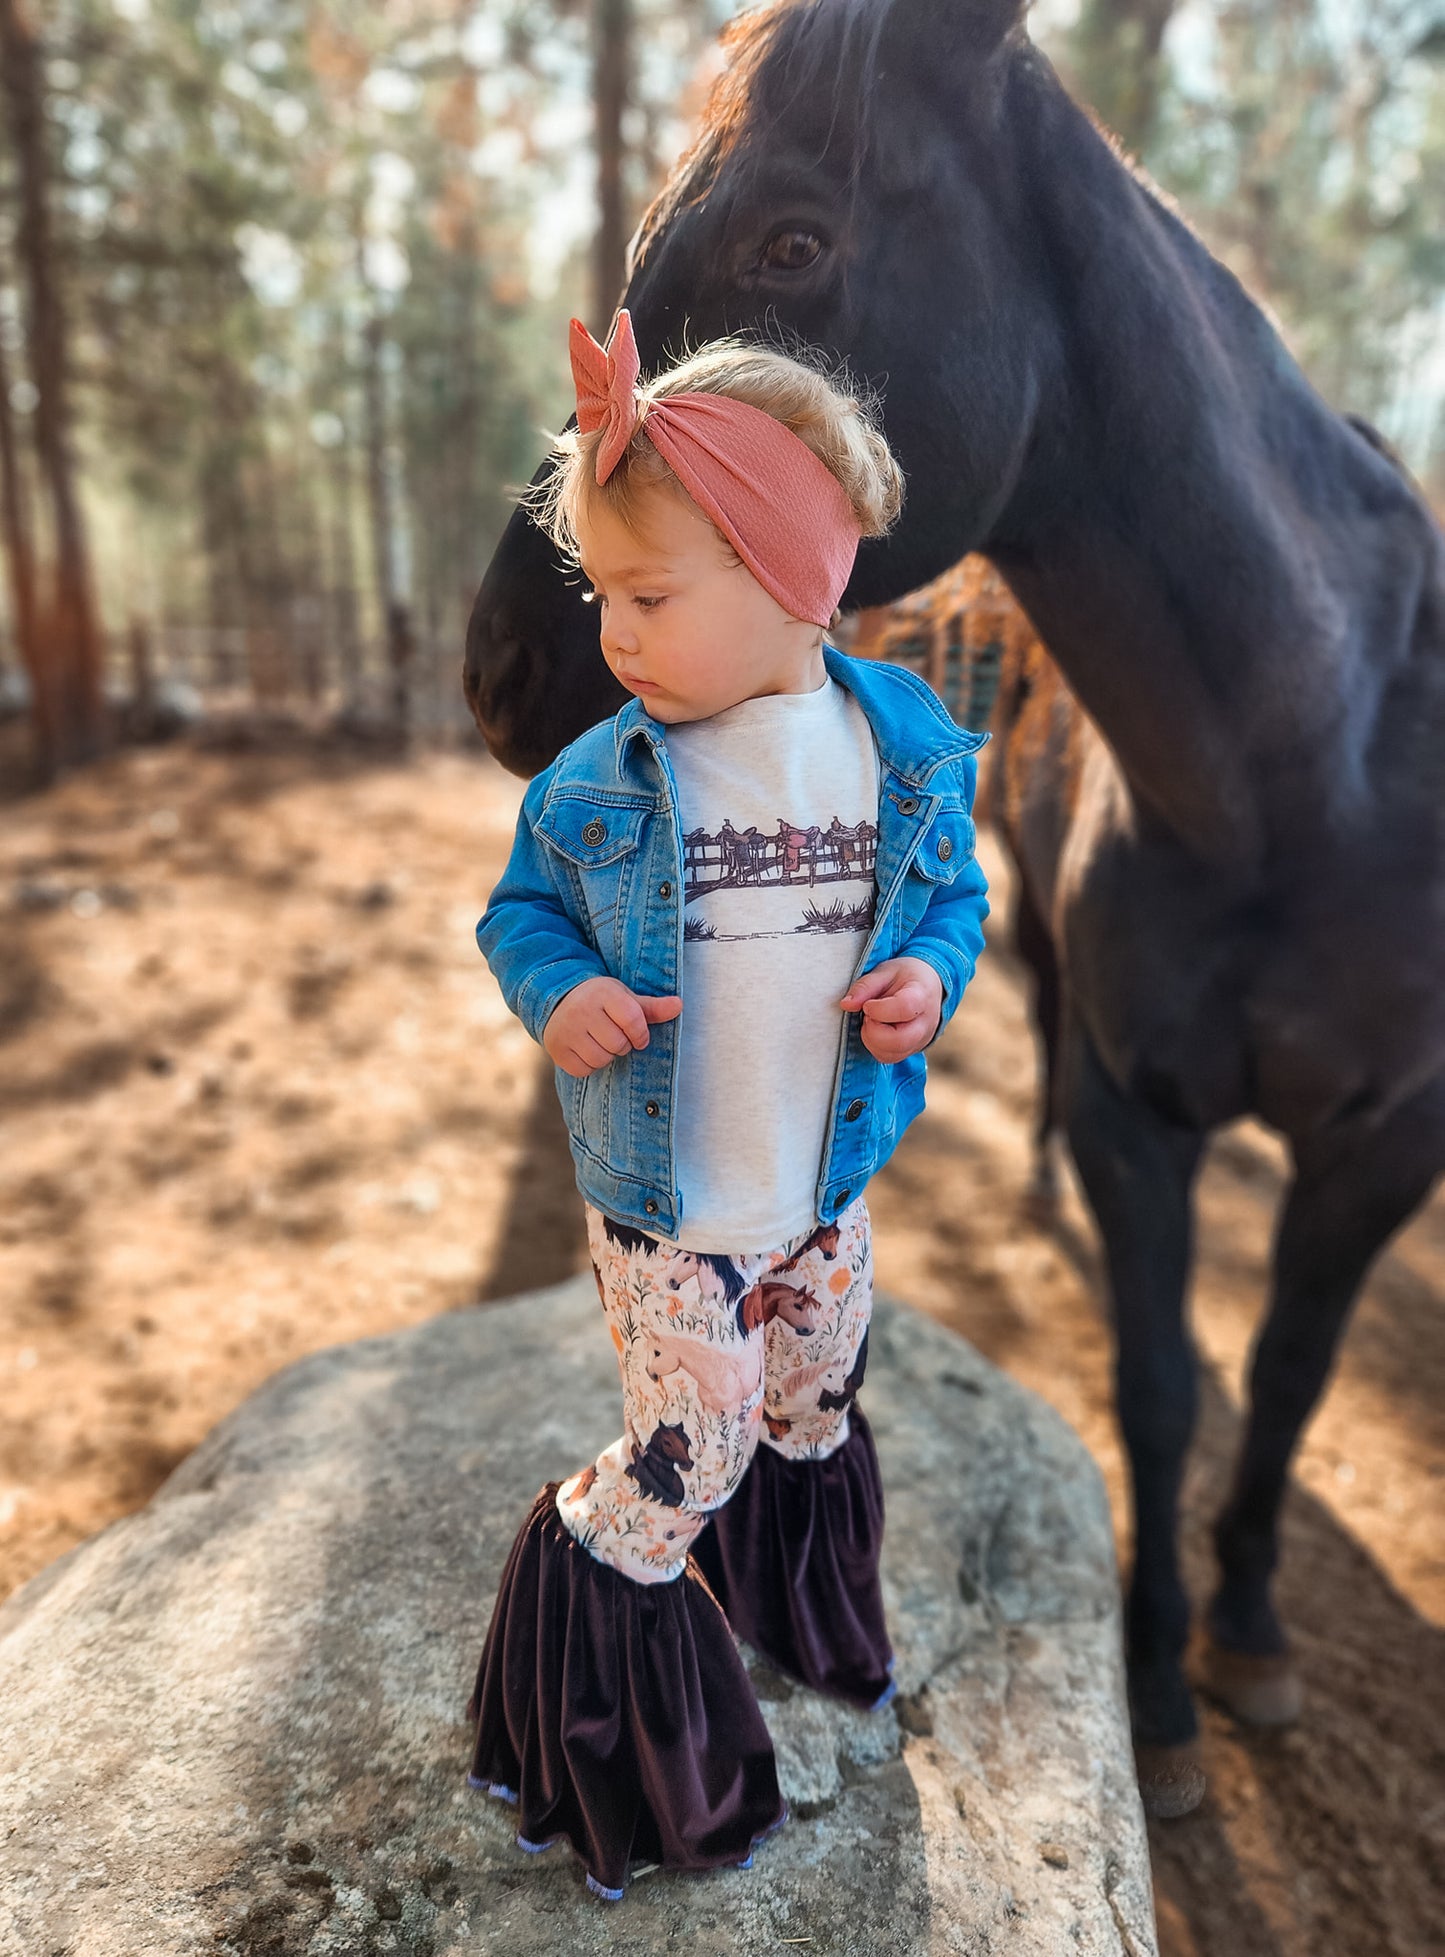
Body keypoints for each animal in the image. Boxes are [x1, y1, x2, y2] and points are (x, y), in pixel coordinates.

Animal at [463, 0, 1445, 1816]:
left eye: (791, 238)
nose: (494, 661)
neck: (1323, 765)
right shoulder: (1140, 1108)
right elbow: (1161, 1383)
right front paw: (1163, 1693)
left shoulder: (1390, 1135)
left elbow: (1282, 1375)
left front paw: (1249, 1633)